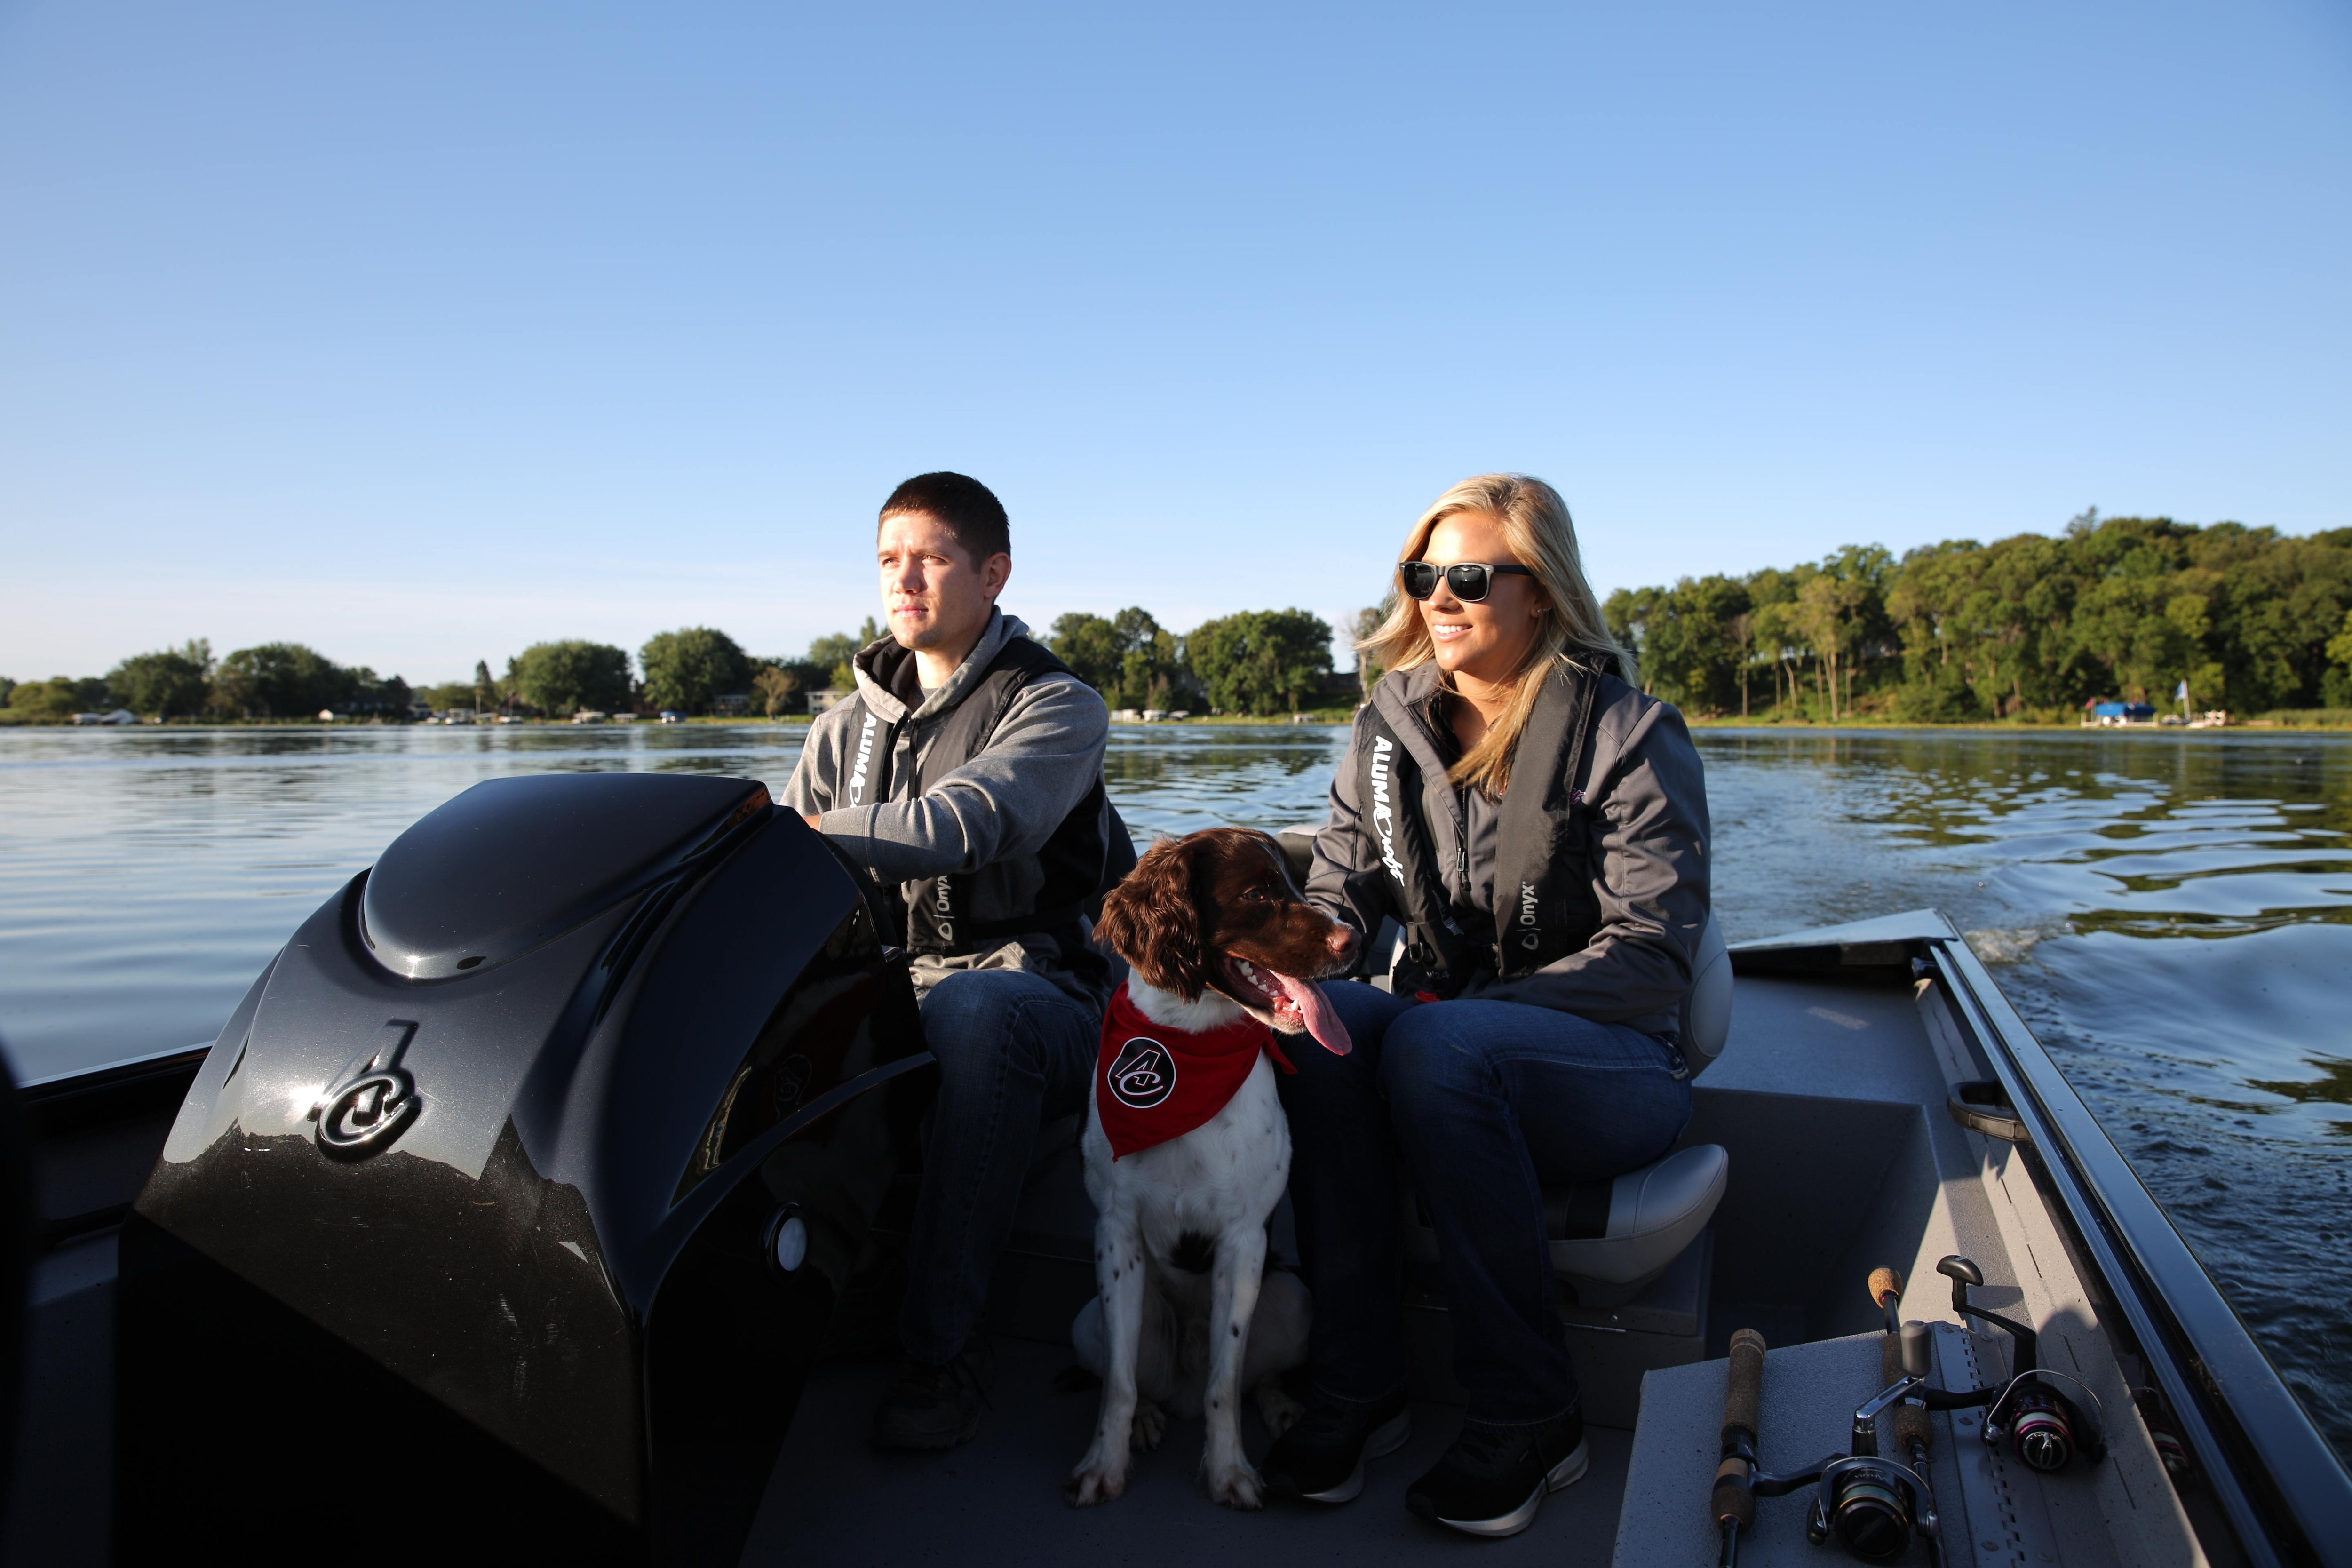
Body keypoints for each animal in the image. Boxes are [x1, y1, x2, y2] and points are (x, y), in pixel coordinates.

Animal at [1068, 827, 1364, 1514]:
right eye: (1257, 893)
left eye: (1297, 885)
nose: (1354, 940)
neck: (1189, 1045)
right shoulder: (1115, 1233)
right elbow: (1118, 1382)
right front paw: (1104, 1463)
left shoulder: (1243, 1240)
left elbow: (1225, 1385)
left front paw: (1228, 1469)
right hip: (1088, 1321)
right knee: (1138, 1378)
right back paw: (1150, 1417)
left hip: (1294, 1301)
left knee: (1250, 1378)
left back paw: (1281, 1407)